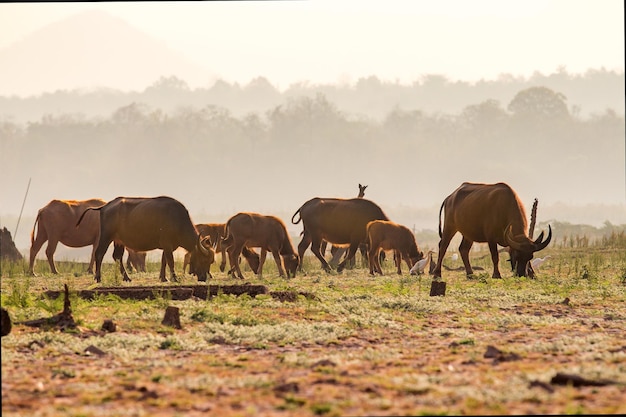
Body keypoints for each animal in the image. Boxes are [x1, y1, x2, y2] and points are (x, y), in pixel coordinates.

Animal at [76, 196, 214, 282]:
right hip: (106, 236)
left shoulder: (168, 246)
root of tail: (105, 206)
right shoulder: (167, 244)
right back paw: (98, 278)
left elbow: (164, 261)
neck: (178, 220)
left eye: (210, 262)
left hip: (118, 241)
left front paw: (163, 278)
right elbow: (170, 261)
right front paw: (174, 278)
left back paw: (126, 278)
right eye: (203, 260)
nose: (204, 278)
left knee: (117, 256)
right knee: (99, 253)